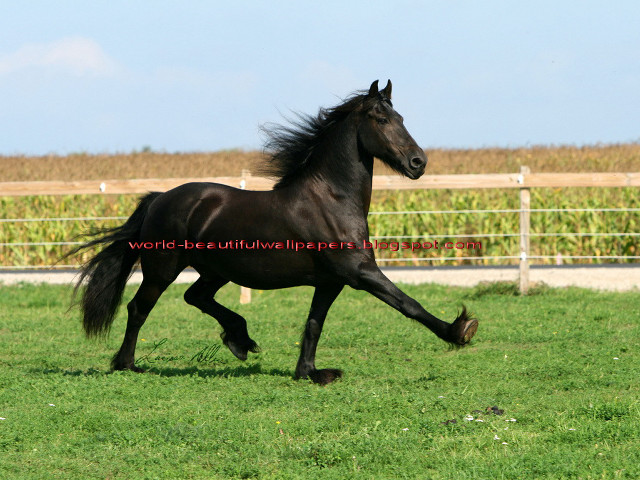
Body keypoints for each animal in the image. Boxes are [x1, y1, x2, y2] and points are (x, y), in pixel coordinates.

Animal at [71, 80, 478, 385]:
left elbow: (314, 324)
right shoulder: (359, 272)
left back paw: (240, 339)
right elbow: (407, 303)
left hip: (216, 270)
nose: (418, 162)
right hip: (162, 267)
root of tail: (159, 198)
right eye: (380, 118)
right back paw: (127, 364)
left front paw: (310, 372)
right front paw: (460, 330)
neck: (332, 199)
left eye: (400, 116)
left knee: (195, 297)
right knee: (139, 307)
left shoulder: (331, 281)